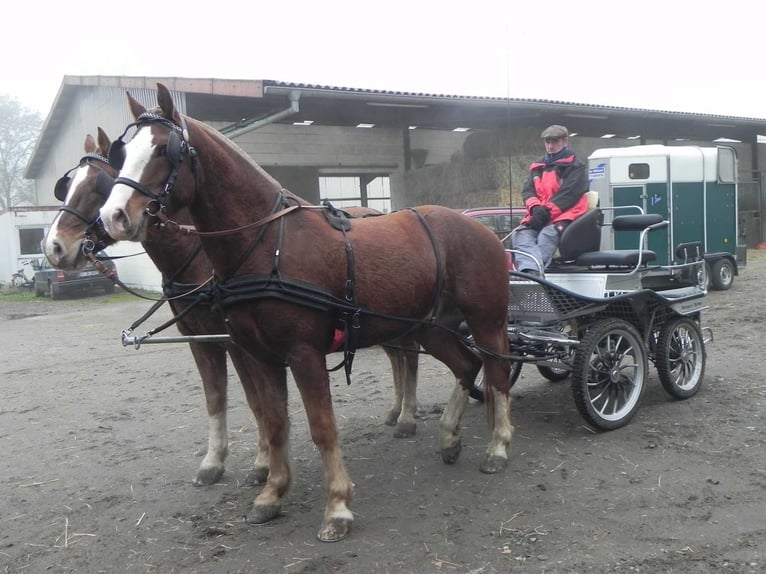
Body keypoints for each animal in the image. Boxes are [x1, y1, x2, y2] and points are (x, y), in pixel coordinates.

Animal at [99, 83, 514, 542]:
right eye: (122, 153)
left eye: (162, 150)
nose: (113, 216)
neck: (268, 244)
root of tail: (482, 229)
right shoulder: (262, 356)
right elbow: (275, 422)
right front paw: (271, 494)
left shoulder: (304, 354)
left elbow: (321, 427)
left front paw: (337, 507)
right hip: (431, 327)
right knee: (467, 365)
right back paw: (448, 437)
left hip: (487, 321)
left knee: (497, 373)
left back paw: (497, 446)